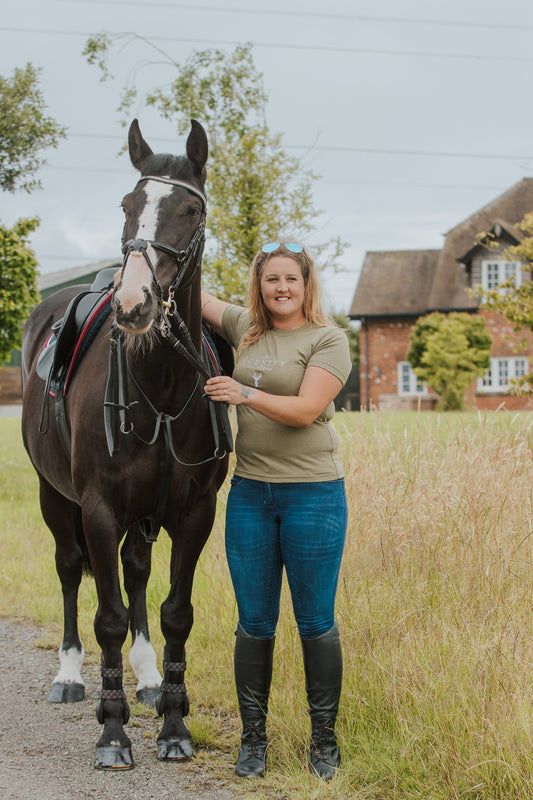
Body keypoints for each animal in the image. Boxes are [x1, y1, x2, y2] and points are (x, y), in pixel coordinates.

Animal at [21, 119, 229, 768]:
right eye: (126, 205)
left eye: (191, 209)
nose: (133, 303)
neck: (159, 383)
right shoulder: (99, 509)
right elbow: (108, 617)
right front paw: (112, 733)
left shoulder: (194, 513)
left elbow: (175, 615)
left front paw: (173, 724)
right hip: (55, 497)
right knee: (69, 571)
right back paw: (69, 674)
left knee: (136, 572)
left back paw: (147, 677)